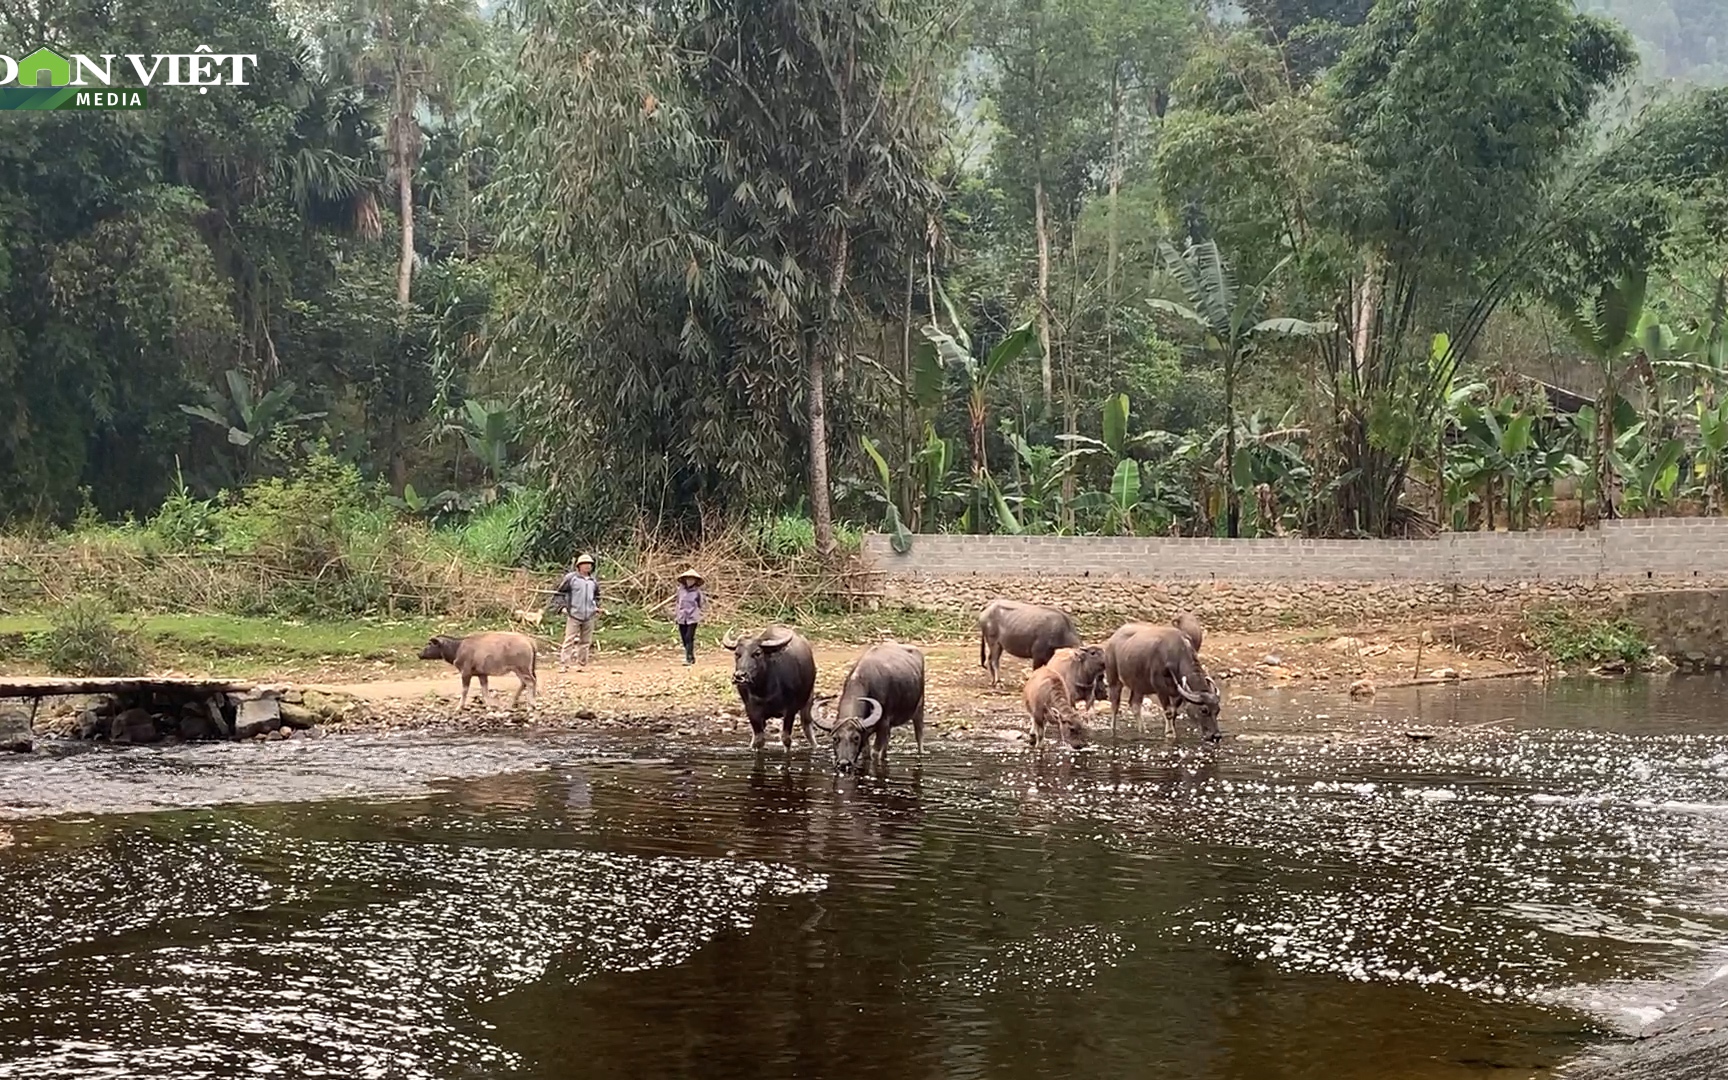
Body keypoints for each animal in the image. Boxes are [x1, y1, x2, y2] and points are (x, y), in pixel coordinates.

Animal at [812, 642, 926, 770]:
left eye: (856, 737)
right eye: (835, 738)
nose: (844, 763)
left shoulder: (883, 725)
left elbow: (875, 752)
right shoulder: (867, 733)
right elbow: (866, 753)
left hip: (919, 708)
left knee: (919, 735)